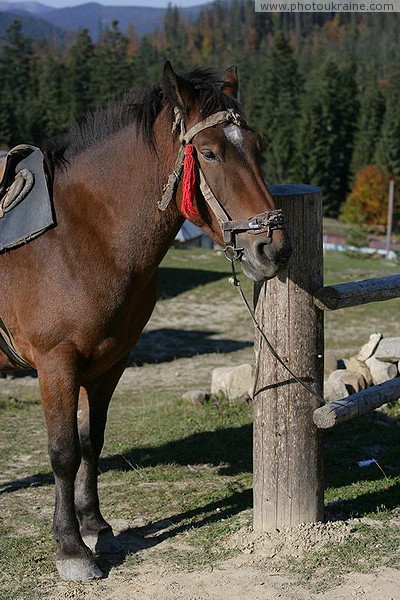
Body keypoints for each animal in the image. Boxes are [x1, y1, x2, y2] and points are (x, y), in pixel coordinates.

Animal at [0, 63, 290, 580]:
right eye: (209, 152)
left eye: (257, 146)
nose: (272, 248)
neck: (81, 237)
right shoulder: (56, 364)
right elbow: (63, 453)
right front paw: (72, 548)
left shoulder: (109, 363)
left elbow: (91, 442)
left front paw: (96, 526)